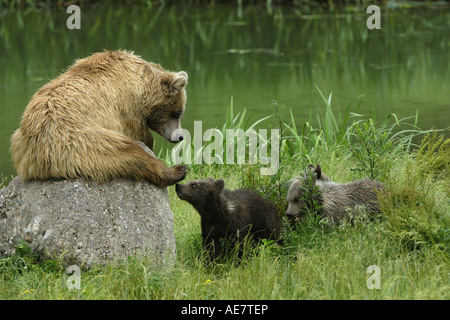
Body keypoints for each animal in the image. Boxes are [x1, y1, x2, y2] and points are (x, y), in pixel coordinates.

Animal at [10, 48, 186, 186]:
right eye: (177, 112)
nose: (180, 136)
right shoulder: (125, 107)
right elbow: (139, 134)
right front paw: (150, 144)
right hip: (78, 139)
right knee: (127, 152)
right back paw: (176, 171)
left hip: (21, 139)